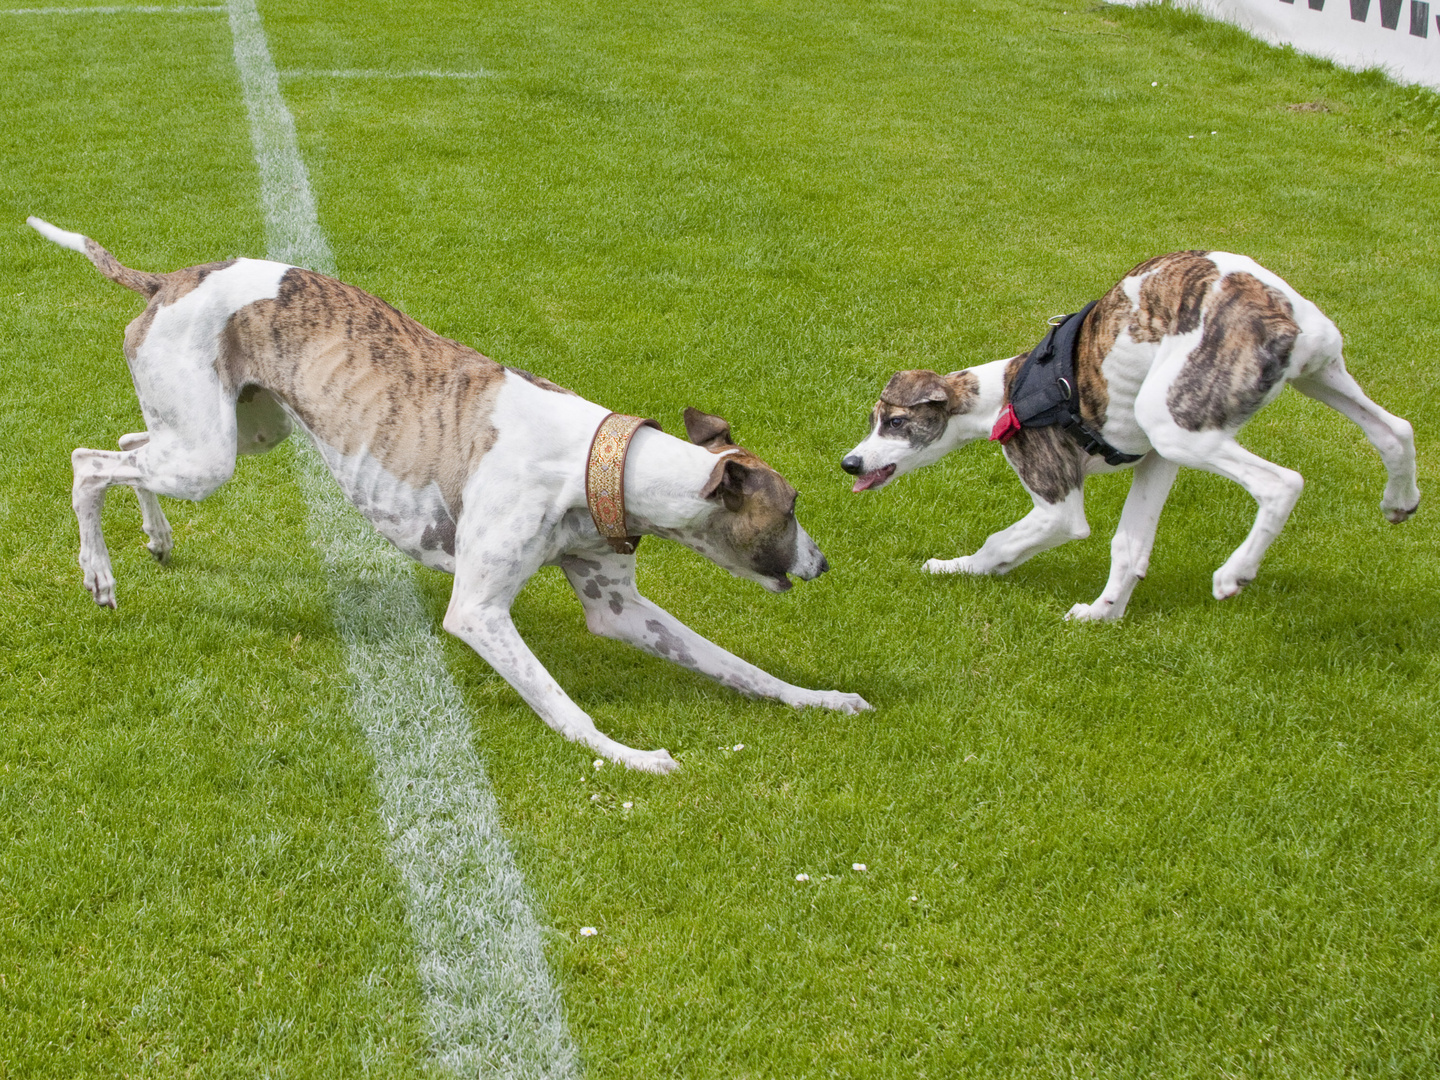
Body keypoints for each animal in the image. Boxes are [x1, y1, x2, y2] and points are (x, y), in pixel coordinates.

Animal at [30, 217, 864, 771]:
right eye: (792, 509)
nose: (824, 565)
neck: (597, 464)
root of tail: (166, 280)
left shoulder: (620, 608)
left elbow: (738, 667)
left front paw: (820, 699)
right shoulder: (480, 611)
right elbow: (563, 708)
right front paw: (628, 755)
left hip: (233, 433)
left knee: (126, 447)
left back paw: (157, 538)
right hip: (208, 455)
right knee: (86, 463)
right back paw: (98, 572)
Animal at [840, 250, 1416, 622]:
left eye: (894, 422)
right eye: (874, 420)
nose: (850, 463)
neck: (1006, 394)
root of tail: (1283, 315)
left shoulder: (1059, 505)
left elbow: (1001, 541)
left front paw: (954, 568)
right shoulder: (1157, 462)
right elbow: (1130, 545)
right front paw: (1103, 614)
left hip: (1178, 424)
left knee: (1282, 484)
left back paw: (1235, 573)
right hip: (1318, 376)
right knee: (1397, 431)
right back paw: (1400, 501)